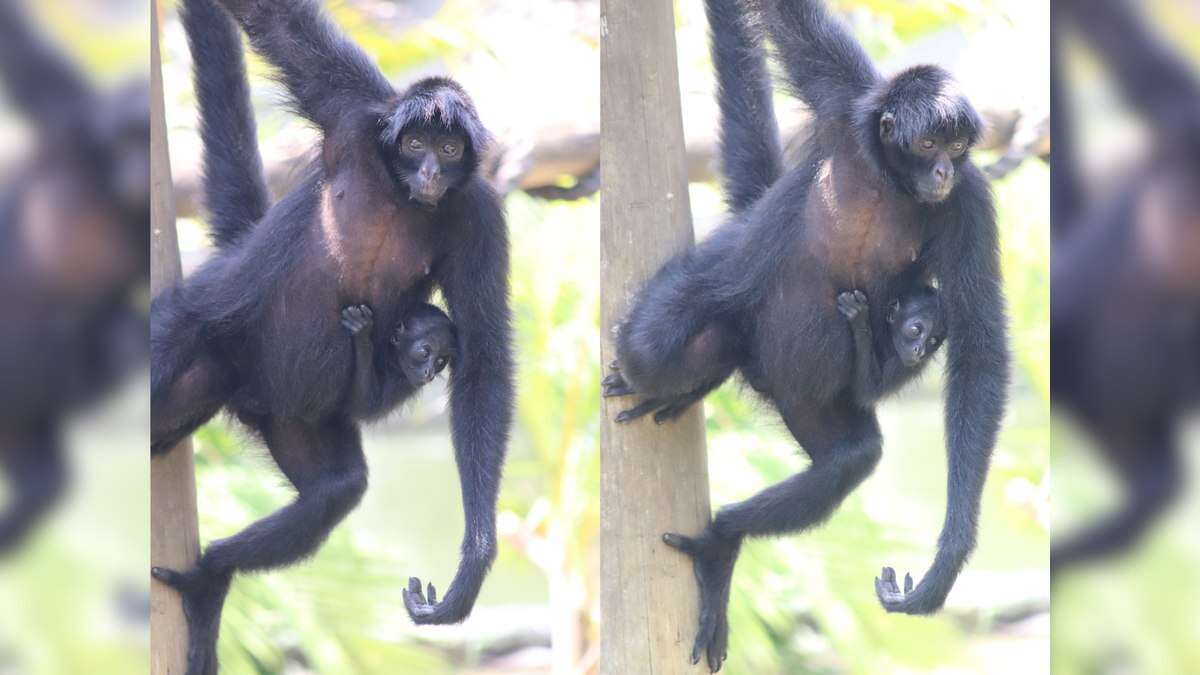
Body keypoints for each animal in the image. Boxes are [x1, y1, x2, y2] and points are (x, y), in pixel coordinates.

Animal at [151, 1, 511, 667]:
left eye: (449, 147)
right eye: (415, 143)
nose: (429, 168)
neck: (403, 196)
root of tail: (252, 392)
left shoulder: (477, 212)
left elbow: (484, 357)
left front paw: (474, 560)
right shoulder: (356, 112)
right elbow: (273, 23)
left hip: (296, 413)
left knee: (336, 490)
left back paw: (211, 577)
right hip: (211, 340)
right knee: (185, 331)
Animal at [604, 0, 1008, 662]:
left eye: (956, 145)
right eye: (928, 142)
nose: (942, 168)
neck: (891, 181)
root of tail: (770, 379)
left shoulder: (966, 198)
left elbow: (979, 344)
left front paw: (947, 559)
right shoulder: (845, 98)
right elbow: (780, 17)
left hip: (814, 398)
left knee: (851, 457)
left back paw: (721, 541)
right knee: (655, 345)